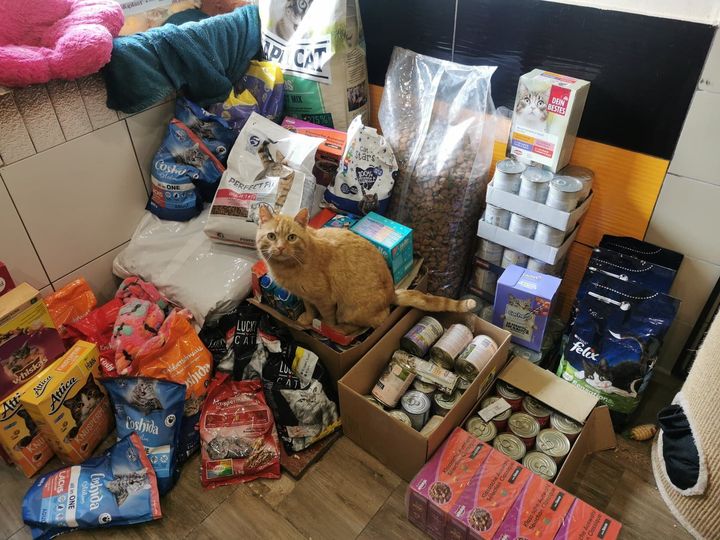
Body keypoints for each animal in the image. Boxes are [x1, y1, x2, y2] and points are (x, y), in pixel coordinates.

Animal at [256, 207, 475, 334]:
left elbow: (327, 318)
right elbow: (309, 308)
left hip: (349, 309)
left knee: (377, 319)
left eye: (291, 238)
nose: (280, 248)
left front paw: (327, 329)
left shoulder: (325, 299)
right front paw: (308, 320)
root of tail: (392, 293)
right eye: (272, 236)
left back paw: (343, 330)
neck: (289, 267)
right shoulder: (306, 296)